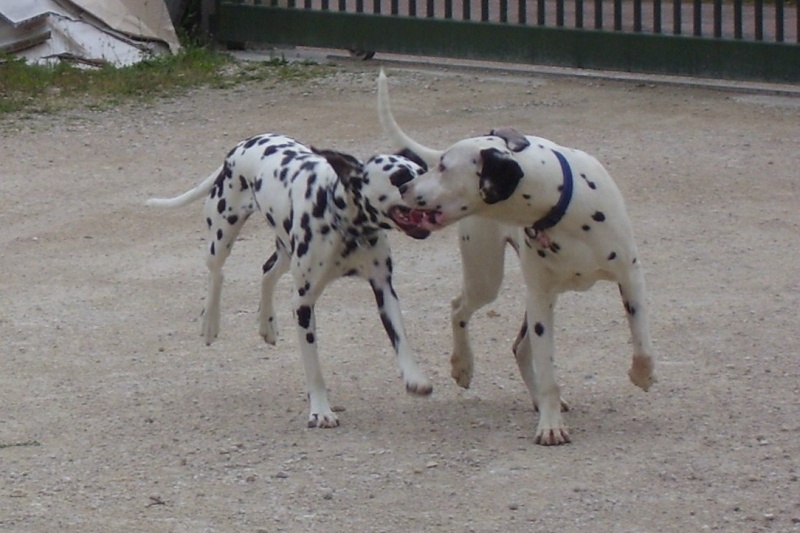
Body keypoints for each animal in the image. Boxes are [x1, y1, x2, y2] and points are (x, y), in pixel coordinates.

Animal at [144, 134, 432, 428]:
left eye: (423, 171)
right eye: (399, 178)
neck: (346, 222)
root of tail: (242, 144)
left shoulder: (383, 288)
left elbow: (400, 338)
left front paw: (414, 377)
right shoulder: (303, 303)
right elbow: (314, 367)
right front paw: (320, 410)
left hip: (284, 250)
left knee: (267, 271)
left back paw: (267, 323)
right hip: (221, 237)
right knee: (217, 273)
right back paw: (210, 323)